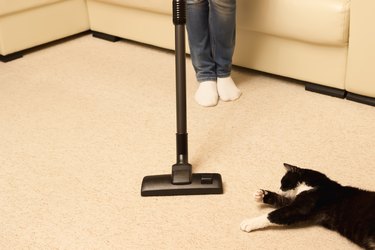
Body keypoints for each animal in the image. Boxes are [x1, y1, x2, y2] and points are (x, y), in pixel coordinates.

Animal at [241, 163, 375, 249]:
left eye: (282, 182)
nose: (279, 189)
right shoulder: (295, 202)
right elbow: (282, 201)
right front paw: (261, 194)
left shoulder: (301, 207)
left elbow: (273, 215)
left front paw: (248, 223)